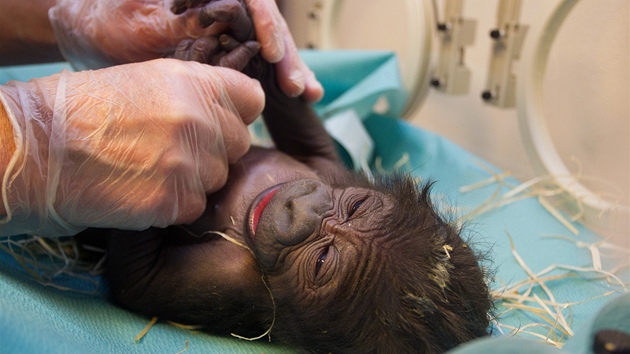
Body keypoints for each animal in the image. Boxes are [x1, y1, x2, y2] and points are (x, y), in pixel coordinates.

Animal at [82, 1, 494, 352]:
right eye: (355, 205)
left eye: (322, 260)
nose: (298, 206)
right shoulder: (333, 172)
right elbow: (311, 143)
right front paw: (243, 33)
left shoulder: (238, 284)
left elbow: (137, 279)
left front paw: (187, 69)